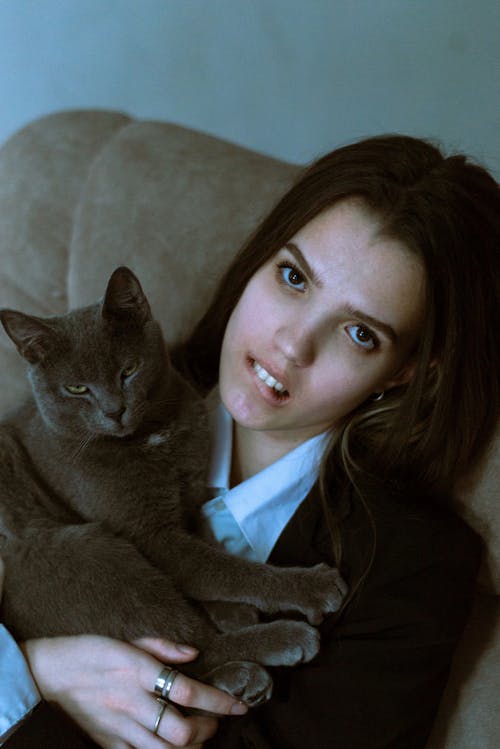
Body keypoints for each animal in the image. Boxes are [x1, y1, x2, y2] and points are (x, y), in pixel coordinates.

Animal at [0, 266, 344, 704]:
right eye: (76, 389)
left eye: (127, 371)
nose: (114, 410)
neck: (155, 438)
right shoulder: (151, 536)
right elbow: (221, 568)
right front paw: (306, 587)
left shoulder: (191, 495)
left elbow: (208, 547)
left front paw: (233, 611)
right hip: (86, 553)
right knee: (191, 643)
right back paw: (279, 645)